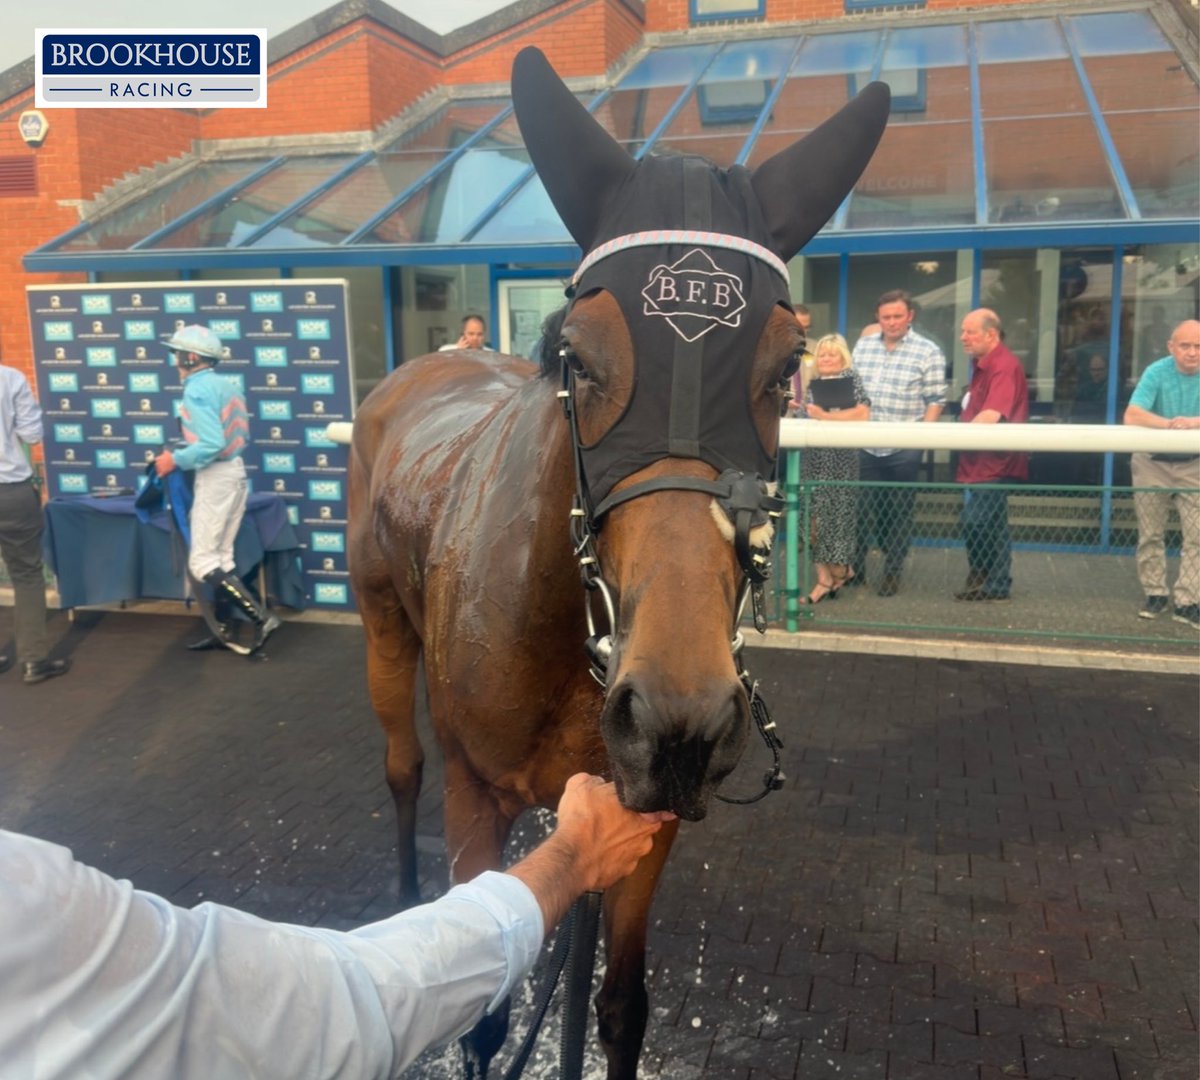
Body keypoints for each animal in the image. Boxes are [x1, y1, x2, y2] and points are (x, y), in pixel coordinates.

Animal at [348, 46, 892, 1075]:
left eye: (785, 366)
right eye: (578, 355)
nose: (679, 716)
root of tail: (430, 363)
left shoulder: (641, 812)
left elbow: (614, 1002)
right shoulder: (477, 798)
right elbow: (486, 1013)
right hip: (383, 629)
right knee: (397, 769)